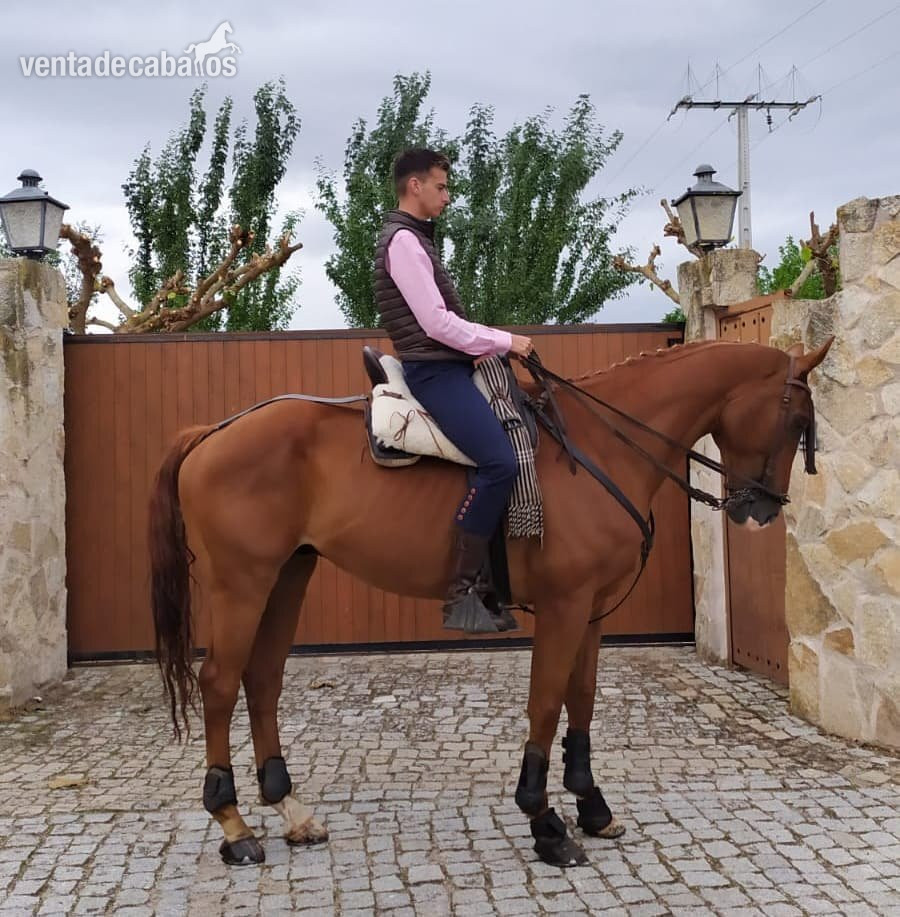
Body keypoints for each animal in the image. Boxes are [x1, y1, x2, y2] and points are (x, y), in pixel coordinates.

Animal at [148, 337, 832, 868]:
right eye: (796, 420)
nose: (761, 508)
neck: (598, 448)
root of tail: (212, 433)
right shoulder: (563, 607)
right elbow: (546, 704)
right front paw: (545, 822)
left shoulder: (591, 611)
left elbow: (581, 701)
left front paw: (591, 805)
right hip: (242, 582)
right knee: (220, 682)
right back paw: (234, 826)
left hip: (288, 575)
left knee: (262, 679)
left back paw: (290, 811)